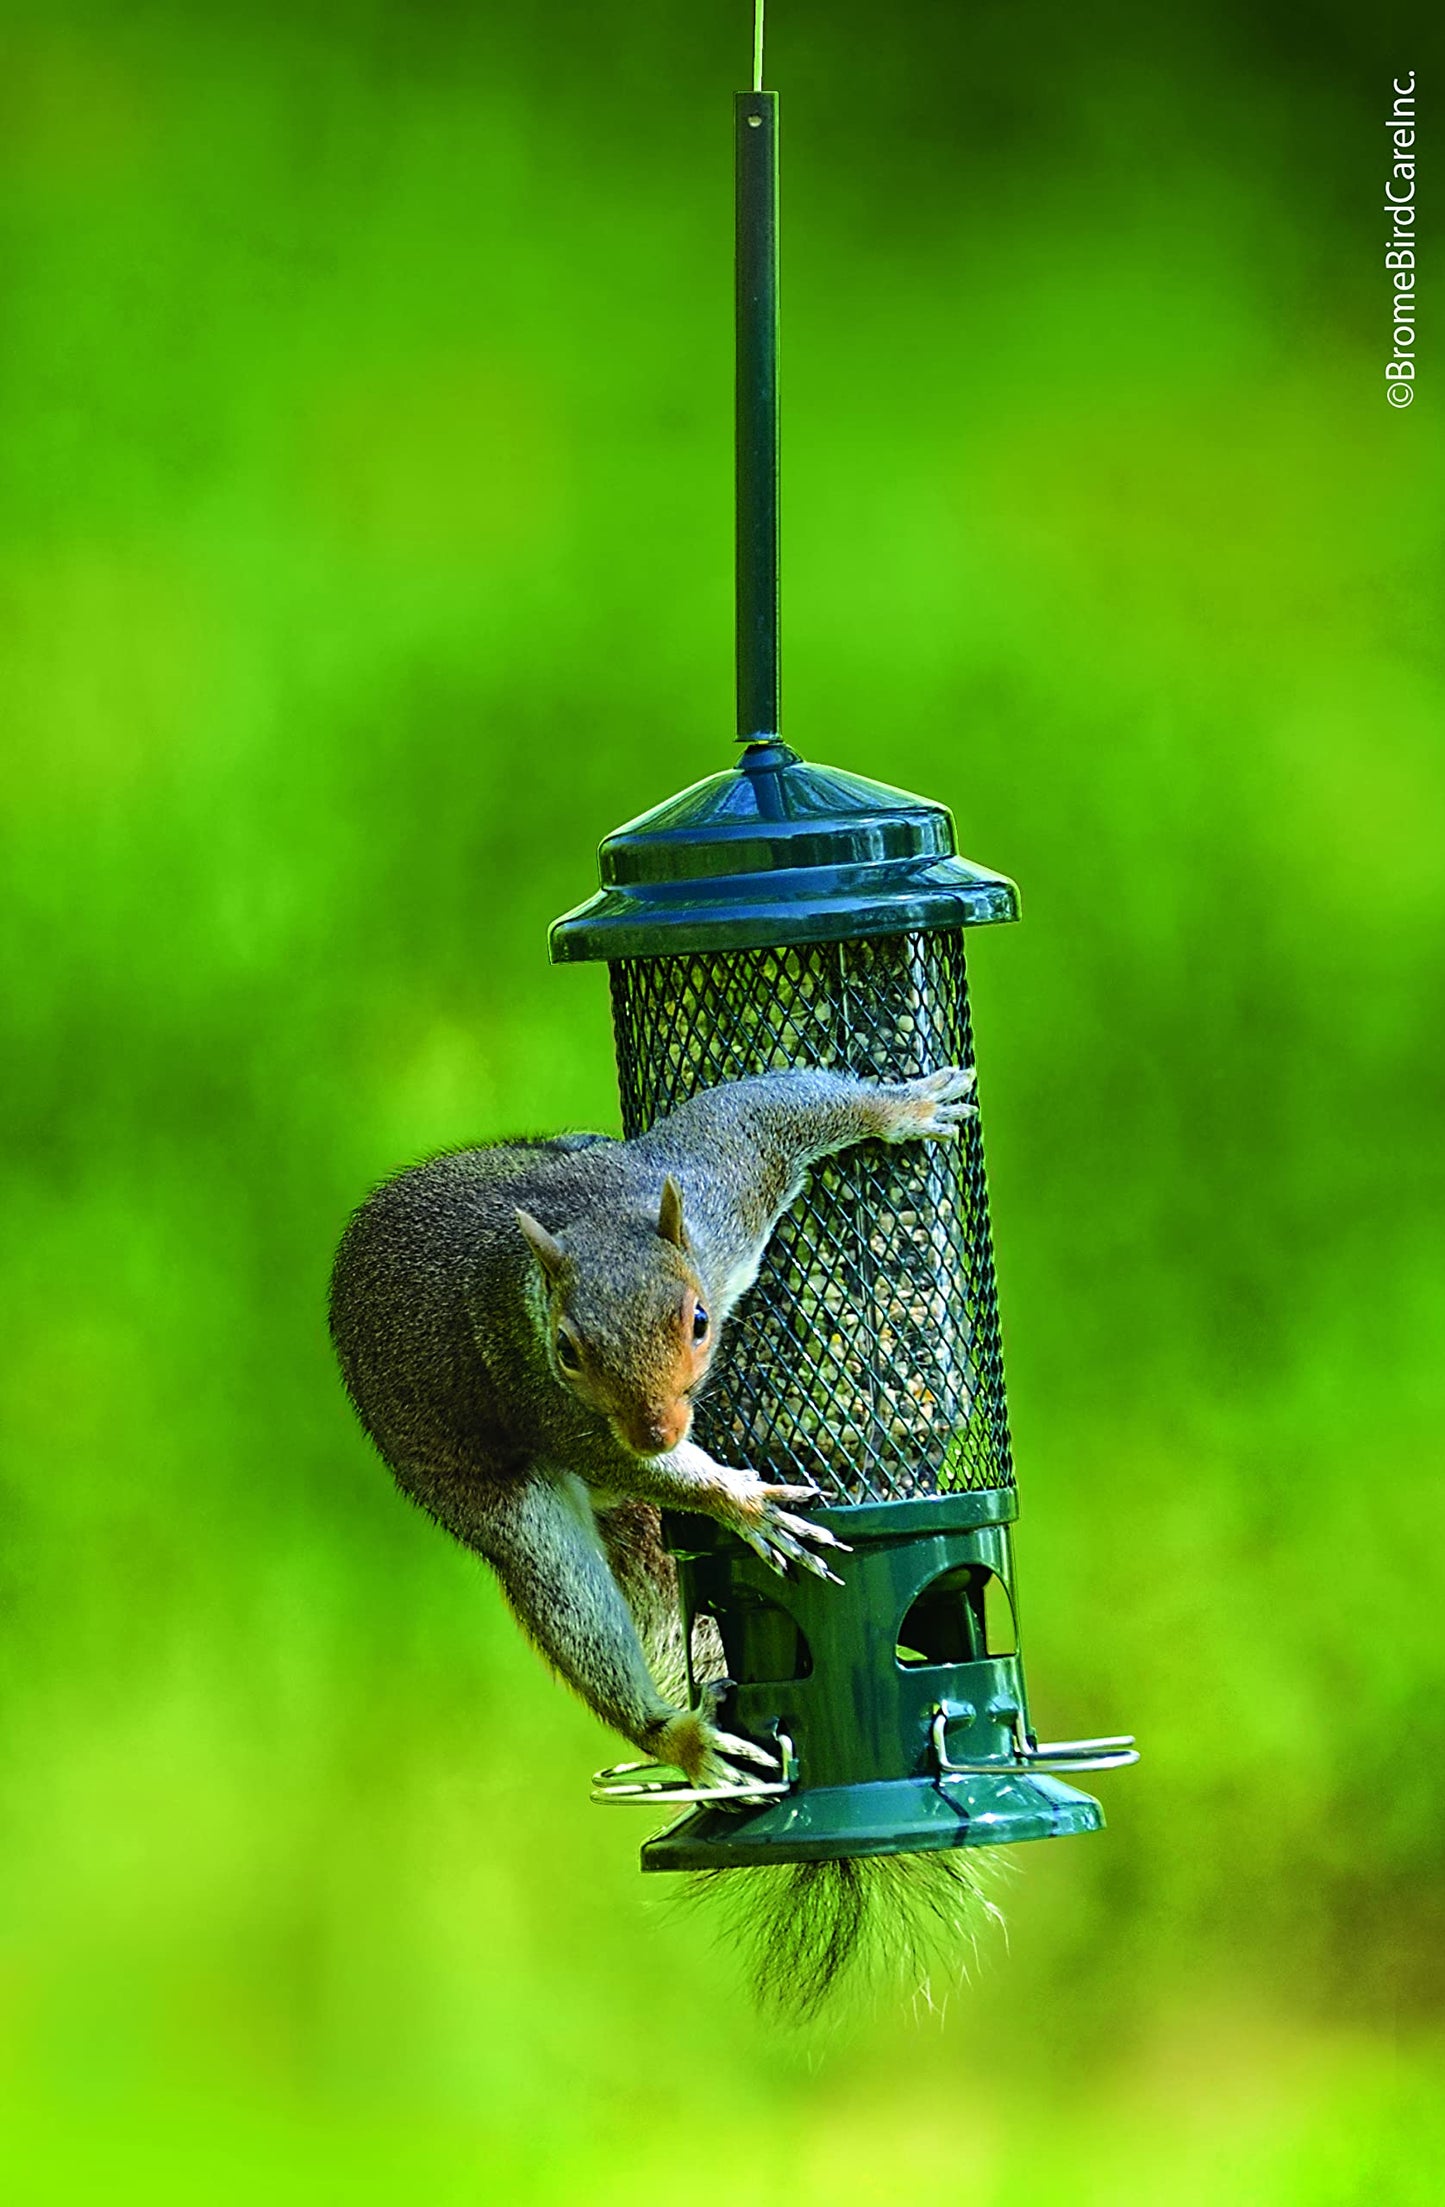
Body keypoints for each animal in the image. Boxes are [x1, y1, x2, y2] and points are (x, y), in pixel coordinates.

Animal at [329, 1065, 977, 1793]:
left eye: (698, 1321)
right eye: (566, 1351)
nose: (656, 1434)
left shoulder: (723, 1189)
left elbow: (764, 1111)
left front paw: (902, 1108)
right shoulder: (534, 1392)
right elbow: (625, 1463)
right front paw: (741, 1503)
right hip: (505, 1509)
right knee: (564, 1592)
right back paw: (680, 1740)